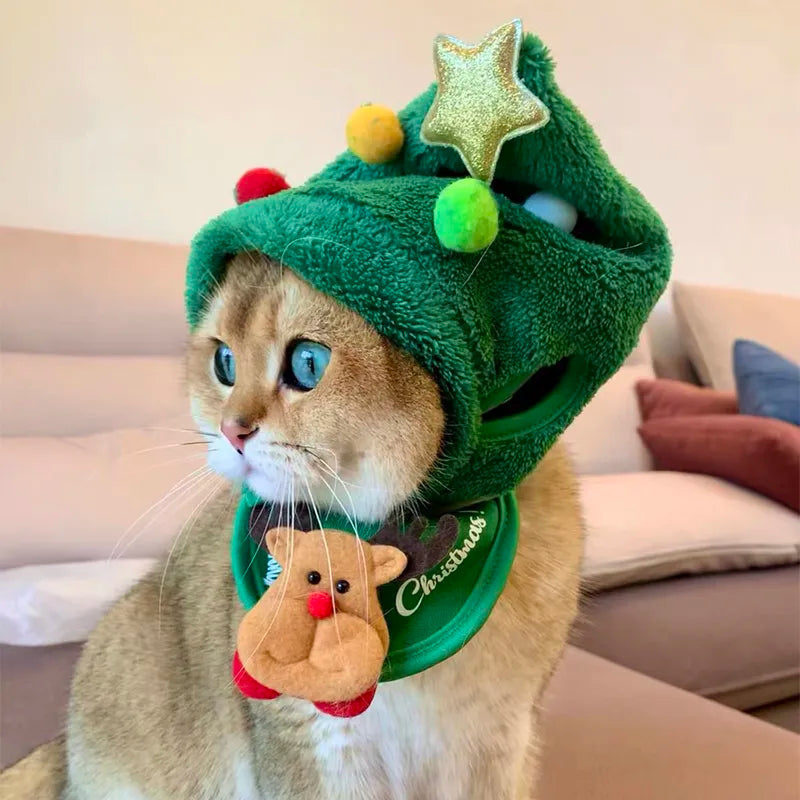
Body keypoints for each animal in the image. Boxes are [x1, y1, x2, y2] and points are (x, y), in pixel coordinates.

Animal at [3, 252, 584, 800]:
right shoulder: (310, 745)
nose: (231, 431)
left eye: (308, 362)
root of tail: (63, 753)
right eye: (224, 362)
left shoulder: (497, 744)